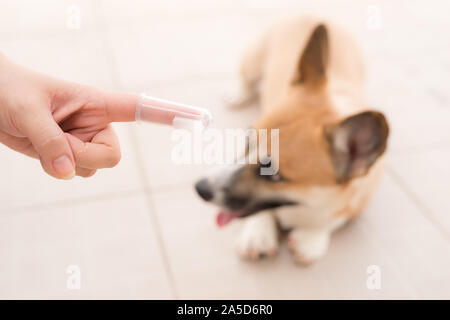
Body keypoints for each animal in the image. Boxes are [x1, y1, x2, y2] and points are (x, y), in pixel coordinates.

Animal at [195, 15, 388, 264]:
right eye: (247, 141)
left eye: (273, 175)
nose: (200, 188)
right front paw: (258, 235)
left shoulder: (358, 202)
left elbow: (332, 220)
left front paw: (310, 239)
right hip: (253, 58)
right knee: (246, 79)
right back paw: (237, 95)